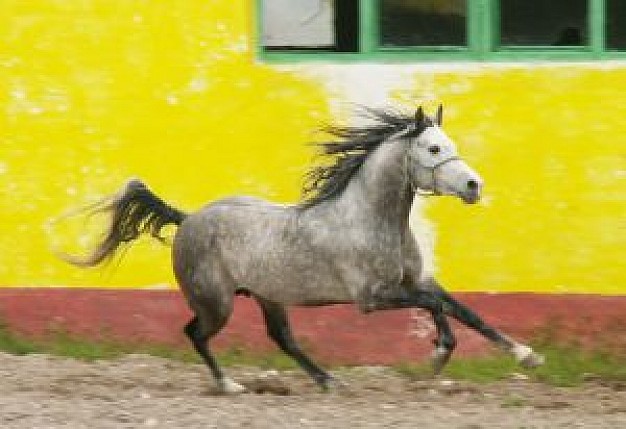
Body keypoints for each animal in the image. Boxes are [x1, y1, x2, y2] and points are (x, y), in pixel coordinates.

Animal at [62, 106, 540, 392]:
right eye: (434, 148)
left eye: (452, 145)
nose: (474, 186)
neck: (369, 218)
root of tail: (188, 219)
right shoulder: (372, 298)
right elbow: (438, 305)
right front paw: (447, 355)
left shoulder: (414, 279)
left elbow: (458, 308)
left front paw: (518, 356)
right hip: (217, 303)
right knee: (196, 334)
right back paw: (229, 385)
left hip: (269, 297)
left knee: (282, 338)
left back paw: (327, 380)